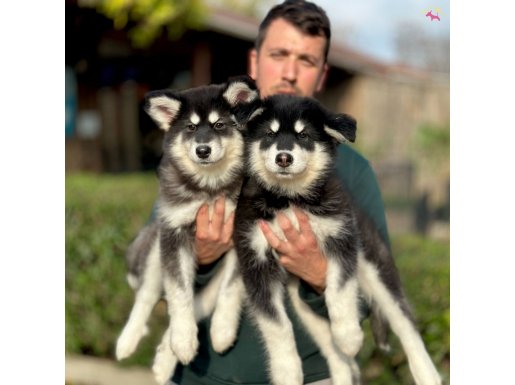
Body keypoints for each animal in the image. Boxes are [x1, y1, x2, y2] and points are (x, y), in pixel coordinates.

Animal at [116, 76, 258, 382]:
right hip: (156, 248)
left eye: (220, 125)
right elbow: (179, 292)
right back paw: (129, 340)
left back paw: (164, 359)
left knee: (201, 301)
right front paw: (182, 340)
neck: (210, 187)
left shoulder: (243, 232)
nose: (202, 150)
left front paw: (222, 330)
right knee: (146, 296)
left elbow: (231, 286)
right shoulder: (174, 230)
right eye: (191, 128)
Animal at [236, 94, 442, 384]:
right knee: (332, 350)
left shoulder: (340, 237)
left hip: (374, 263)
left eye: (304, 136)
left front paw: (349, 335)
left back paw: (426, 373)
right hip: (303, 302)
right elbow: (276, 325)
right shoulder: (255, 259)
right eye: (269, 134)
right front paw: (286, 370)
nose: (284, 158)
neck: (289, 198)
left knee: (404, 322)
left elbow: (340, 289)